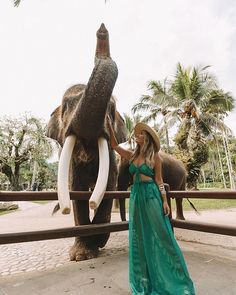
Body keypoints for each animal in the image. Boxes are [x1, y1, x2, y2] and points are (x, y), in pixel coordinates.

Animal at [46, 24, 127, 262]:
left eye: (111, 109)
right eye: (66, 105)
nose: (102, 30)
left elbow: (108, 187)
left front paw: (97, 241)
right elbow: (76, 190)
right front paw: (80, 255)